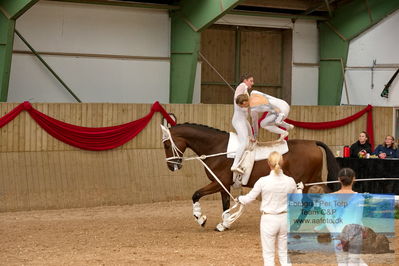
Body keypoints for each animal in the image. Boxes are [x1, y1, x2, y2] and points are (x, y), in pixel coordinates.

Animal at [162, 122, 340, 231]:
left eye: (166, 144)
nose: (171, 166)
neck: (217, 148)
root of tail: (313, 143)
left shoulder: (219, 183)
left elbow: (196, 194)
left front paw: (200, 218)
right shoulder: (223, 185)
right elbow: (225, 204)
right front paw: (224, 224)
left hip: (302, 182)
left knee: (308, 204)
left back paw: (295, 226)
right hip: (313, 180)